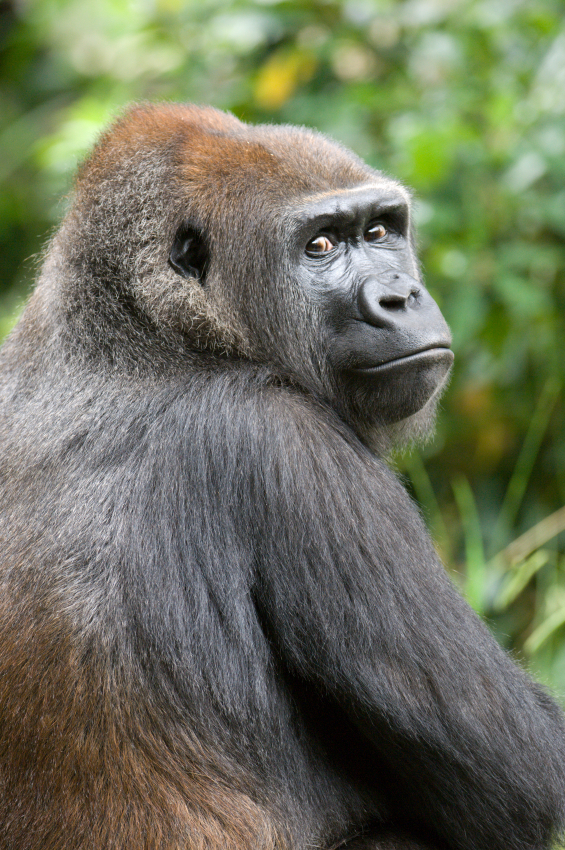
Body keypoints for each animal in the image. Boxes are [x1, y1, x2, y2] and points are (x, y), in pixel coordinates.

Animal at [0, 102, 563, 850]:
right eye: (319, 246)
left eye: (378, 231)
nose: (401, 296)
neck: (141, 334)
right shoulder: (288, 443)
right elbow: (527, 778)